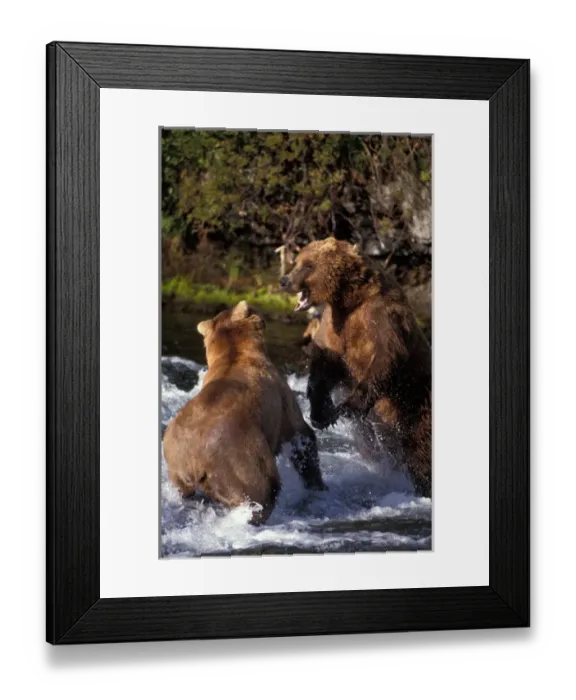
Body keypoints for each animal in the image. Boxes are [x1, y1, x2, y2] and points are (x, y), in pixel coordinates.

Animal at [162, 300, 326, 525]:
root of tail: (195, 460)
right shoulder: (281, 398)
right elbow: (301, 436)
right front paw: (318, 484)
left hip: (177, 469)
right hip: (241, 456)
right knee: (264, 488)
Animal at [280, 237, 431, 497]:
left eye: (308, 265)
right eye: (297, 261)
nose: (284, 280)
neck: (348, 298)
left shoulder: (379, 318)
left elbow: (385, 359)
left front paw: (346, 406)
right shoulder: (335, 325)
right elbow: (325, 364)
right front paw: (320, 412)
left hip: (416, 405)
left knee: (420, 451)